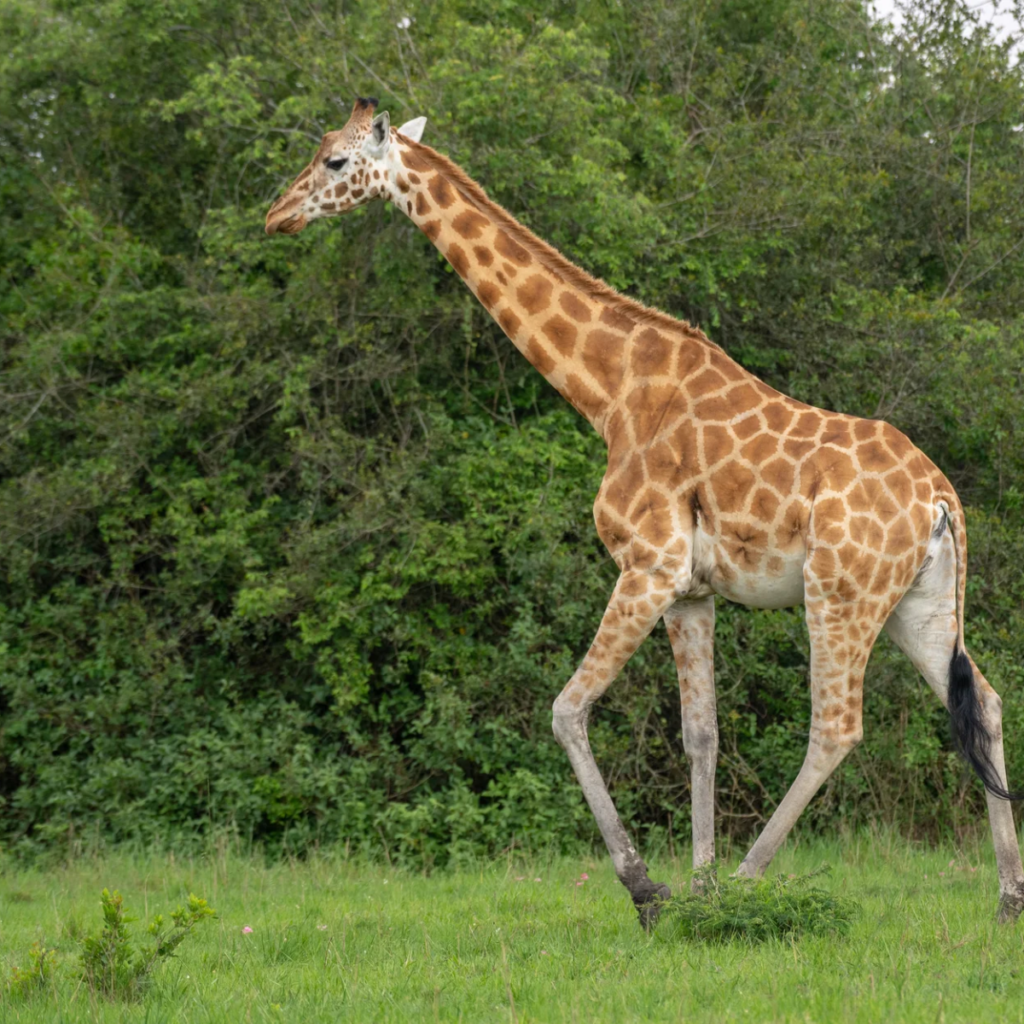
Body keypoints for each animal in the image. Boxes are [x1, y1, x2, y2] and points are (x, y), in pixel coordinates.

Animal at [266, 98, 1024, 925]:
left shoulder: (647, 565)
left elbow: (566, 710)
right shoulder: (690, 591)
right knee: (983, 702)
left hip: (841, 590)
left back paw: (750, 883)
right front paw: (695, 884)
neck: (609, 394)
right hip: (918, 600)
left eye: (336, 161)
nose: (276, 215)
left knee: (836, 727)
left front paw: (652, 889)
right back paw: (1007, 897)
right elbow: (701, 733)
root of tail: (941, 498)